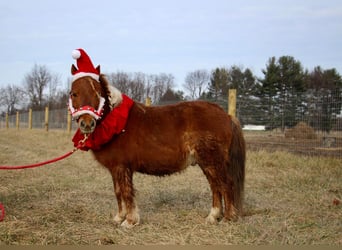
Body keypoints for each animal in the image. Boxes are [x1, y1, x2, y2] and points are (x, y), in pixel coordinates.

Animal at [70, 67, 246, 228]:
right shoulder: (115, 168)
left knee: (225, 185)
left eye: (98, 94)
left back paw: (228, 218)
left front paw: (130, 221)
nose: (87, 124)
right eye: (73, 94)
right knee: (216, 186)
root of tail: (227, 115)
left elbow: (126, 192)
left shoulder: (122, 167)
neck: (115, 123)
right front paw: (119, 217)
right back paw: (212, 217)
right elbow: (118, 191)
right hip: (207, 163)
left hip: (213, 162)